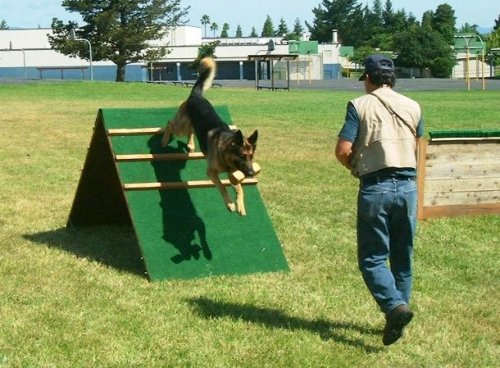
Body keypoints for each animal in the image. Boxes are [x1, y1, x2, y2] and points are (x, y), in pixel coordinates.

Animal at [162, 57, 260, 216]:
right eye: (242, 156)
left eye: (251, 157)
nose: (251, 173)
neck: (224, 152)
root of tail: (196, 96)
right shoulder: (212, 173)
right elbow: (222, 187)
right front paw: (230, 203)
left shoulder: (233, 175)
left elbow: (240, 189)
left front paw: (240, 205)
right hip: (181, 126)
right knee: (170, 124)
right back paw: (164, 141)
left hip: (191, 126)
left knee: (190, 132)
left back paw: (190, 146)